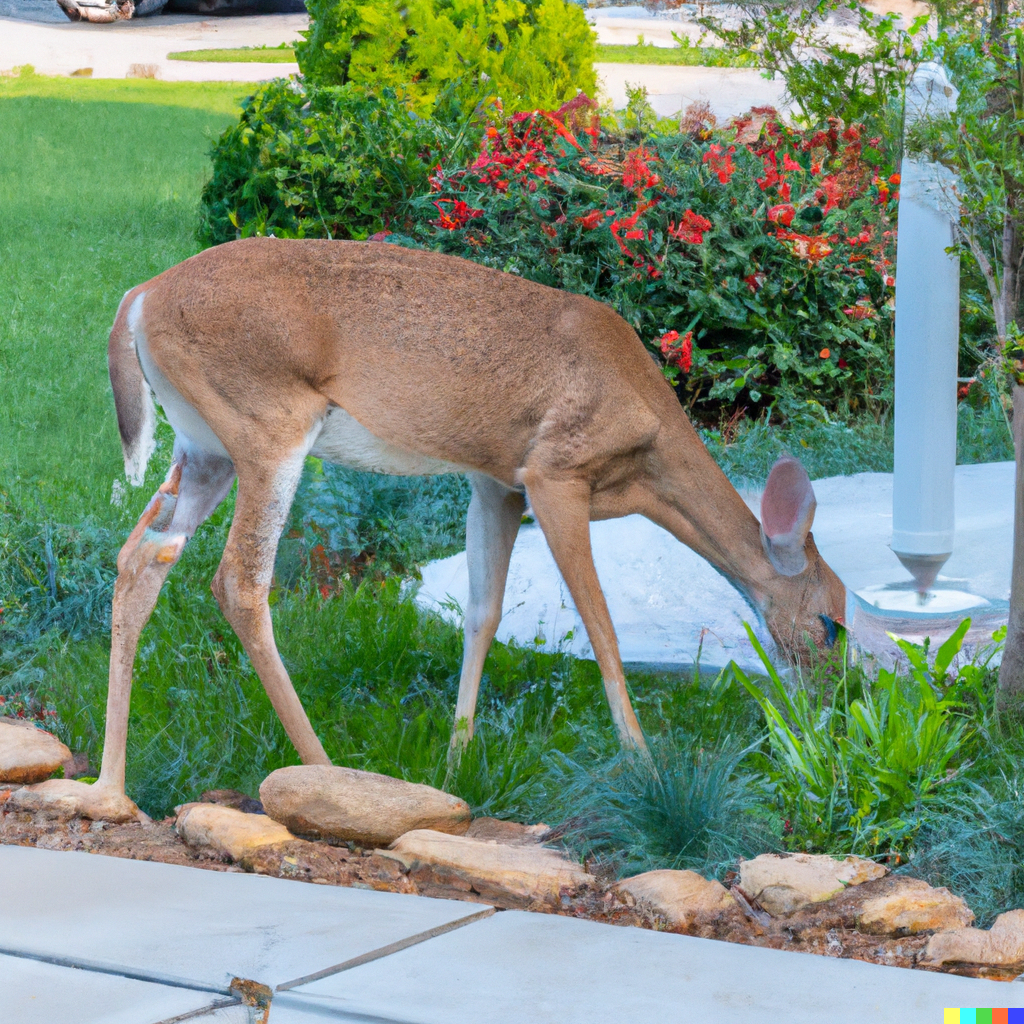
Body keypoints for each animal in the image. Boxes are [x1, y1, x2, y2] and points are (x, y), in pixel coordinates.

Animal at [10, 239, 846, 823]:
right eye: (833, 624)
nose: (831, 712)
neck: (647, 459)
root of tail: (137, 300)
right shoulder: (555, 473)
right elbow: (602, 626)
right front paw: (642, 764)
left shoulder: (495, 481)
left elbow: (483, 611)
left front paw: (457, 754)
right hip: (267, 424)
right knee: (238, 581)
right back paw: (325, 768)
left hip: (202, 444)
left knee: (144, 553)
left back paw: (109, 786)